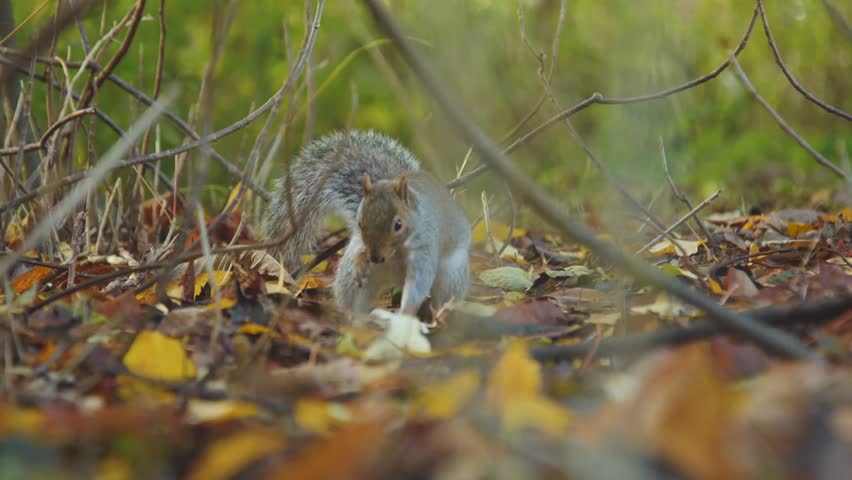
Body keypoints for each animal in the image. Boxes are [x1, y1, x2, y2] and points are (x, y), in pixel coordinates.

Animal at [264, 130, 471, 316]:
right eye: (360, 222)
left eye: (398, 225)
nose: (375, 257)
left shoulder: (426, 247)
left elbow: (419, 281)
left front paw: (405, 312)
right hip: (354, 276)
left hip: (452, 275)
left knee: (443, 296)